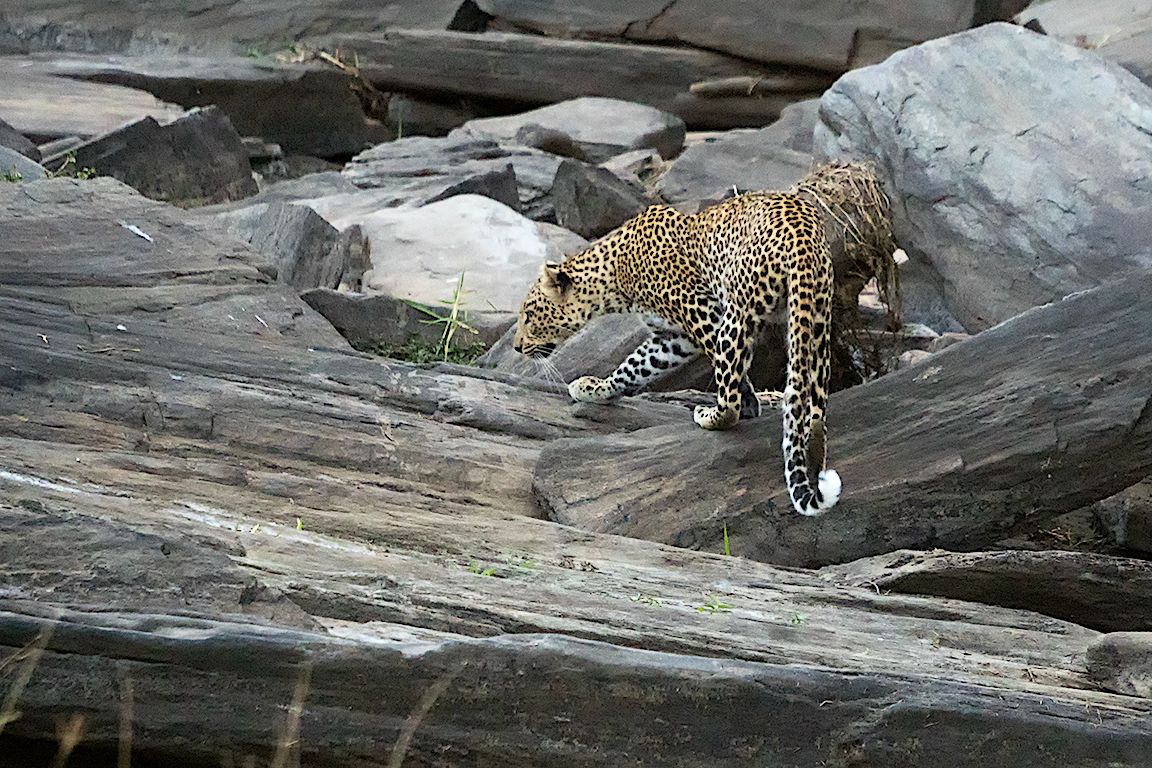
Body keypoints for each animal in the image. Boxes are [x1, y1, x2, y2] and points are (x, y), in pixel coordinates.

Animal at [514, 191, 841, 516]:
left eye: (529, 314)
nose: (517, 347)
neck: (614, 276)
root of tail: (801, 235)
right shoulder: (674, 340)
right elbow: (634, 366)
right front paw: (596, 388)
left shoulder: (703, 313)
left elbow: (731, 376)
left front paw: (748, 404)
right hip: (814, 316)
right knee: (815, 403)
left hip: (738, 313)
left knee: (729, 397)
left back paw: (710, 415)